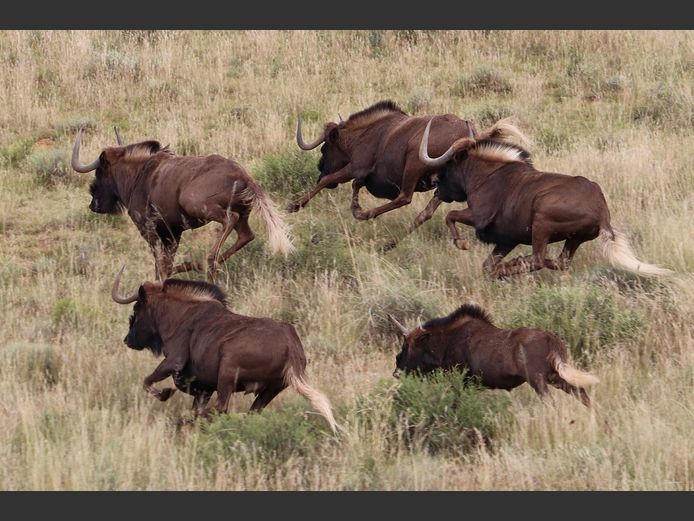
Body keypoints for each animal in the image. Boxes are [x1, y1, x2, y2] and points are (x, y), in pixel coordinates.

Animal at [72, 129, 294, 280]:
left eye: (99, 172)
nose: (94, 205)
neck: (138, 175)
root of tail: (245, 177)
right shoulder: (173, 232)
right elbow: (166, 263)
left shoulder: (149, 229)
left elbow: (160, 263)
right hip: (242, 215)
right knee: (246, 234)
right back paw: (204, 264)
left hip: (194, 203)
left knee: (229, 220)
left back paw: (207, 262)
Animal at [110, 266, 337, 432]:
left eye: (137, 309)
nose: (127, 340)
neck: (179, 314)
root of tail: (292, 348)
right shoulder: (203, 390)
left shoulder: (174, 361)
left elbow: (147, 382)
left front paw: (165, 393)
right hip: (270, 390)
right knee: (249, 411)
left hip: (227, 371)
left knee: (221, 408)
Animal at [289, 100, 485, 251]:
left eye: (325, 149)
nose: (320, 169)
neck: (365, 133)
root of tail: (467, 136)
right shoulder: (363, 174)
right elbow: (355, 184)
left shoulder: (356, 166)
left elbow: (331, 180)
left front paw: (295, 204)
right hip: (443, 188)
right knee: (425, 213)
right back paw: (390, 244)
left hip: (414, 163)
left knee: (404, 197)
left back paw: (367, 215)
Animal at [389, 304, 599, 407]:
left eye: (407, 345)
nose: (397, 370)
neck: (446, 341)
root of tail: (552, 338)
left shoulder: (461, 381)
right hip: (557, 377)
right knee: (583, 394)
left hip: (538, 380)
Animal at [418, 119, 673, 278]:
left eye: (449, 165)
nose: (436, 188)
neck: (487, 175)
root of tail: (602, 215)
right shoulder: (507, 241)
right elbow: (486, 265)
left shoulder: (477, 216)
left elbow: (451, 216)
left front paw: (461, 243)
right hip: (573, 240)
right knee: (560, 262)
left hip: (541, 224)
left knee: (538, 259)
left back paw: (510, 266)